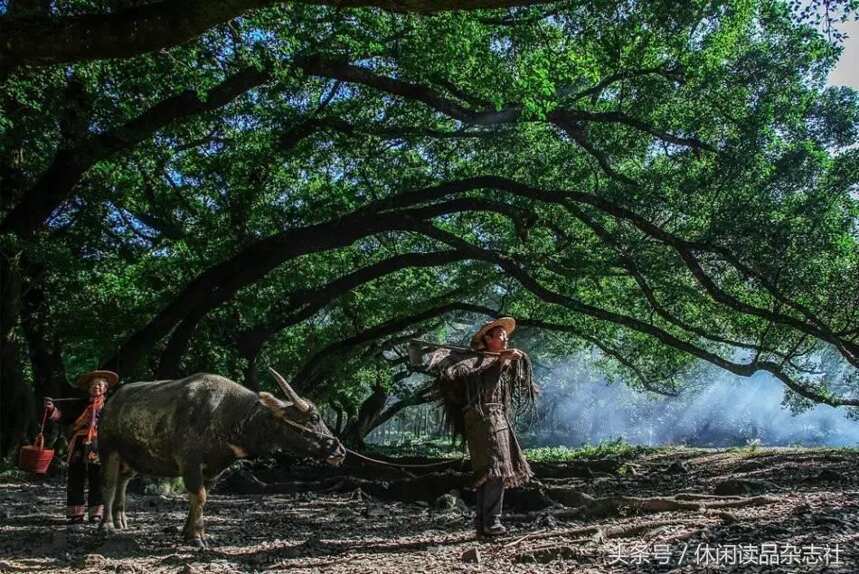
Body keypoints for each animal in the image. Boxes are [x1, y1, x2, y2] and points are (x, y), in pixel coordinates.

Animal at [98, 372, 346, 548]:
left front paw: (188, 532)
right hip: (108, 449)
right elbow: (199, 495)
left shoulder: (214, 469)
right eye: (314, 417)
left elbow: (201, 498)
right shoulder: (189, 462)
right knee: (109, 484)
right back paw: (106, 525)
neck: (225, 414)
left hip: (133, 459)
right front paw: (197, 536)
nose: (340, 450)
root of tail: (111, 402)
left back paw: (121, 520)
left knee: (123, 481)